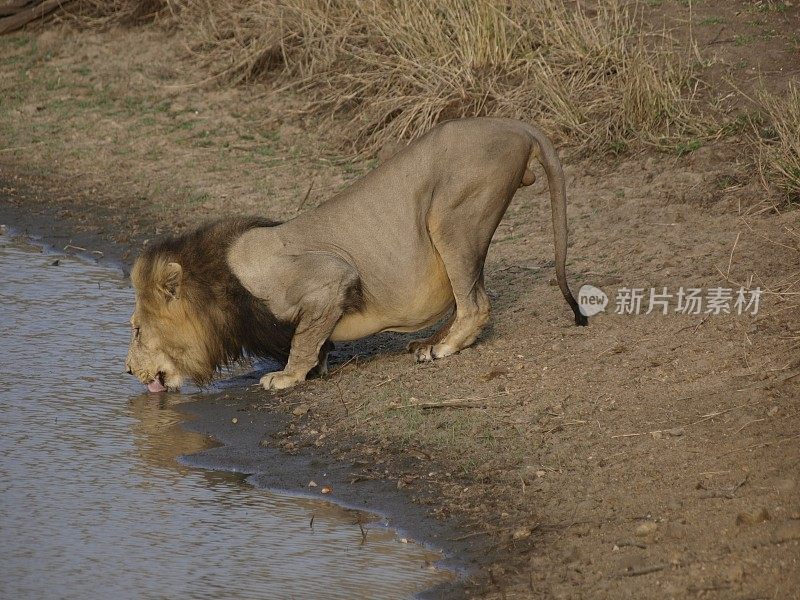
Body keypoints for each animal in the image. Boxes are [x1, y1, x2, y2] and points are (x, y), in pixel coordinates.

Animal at [126, 116, 588, 394]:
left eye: (135, 330)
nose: (128, 372)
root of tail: (515, 126)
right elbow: (314, 339)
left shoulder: (326, 276)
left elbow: (303, 338)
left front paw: (287, 376)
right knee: (467, 298)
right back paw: (428, 343)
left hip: (451, 216)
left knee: (477, 304)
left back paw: (443, 349)